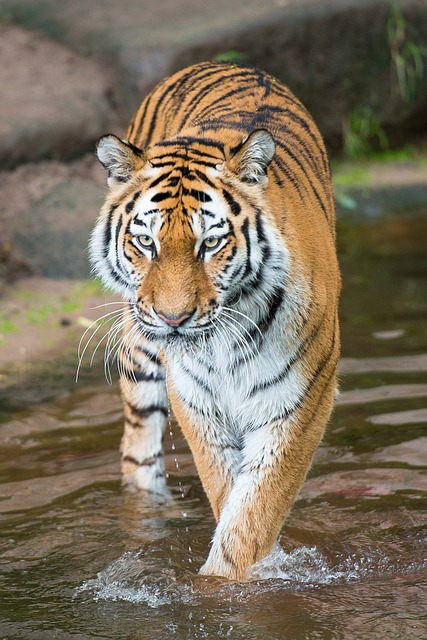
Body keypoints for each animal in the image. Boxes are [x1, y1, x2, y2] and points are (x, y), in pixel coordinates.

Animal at [89, 60, 340, 581]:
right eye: (146, 242)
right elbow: (226, 489)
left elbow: (255, 508)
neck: (221, 343)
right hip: (139, 351)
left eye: (210, 244)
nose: (173, 319)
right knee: (138, 447)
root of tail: (222, 62)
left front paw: (231, 580)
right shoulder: (197, 400)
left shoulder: (301, 399)